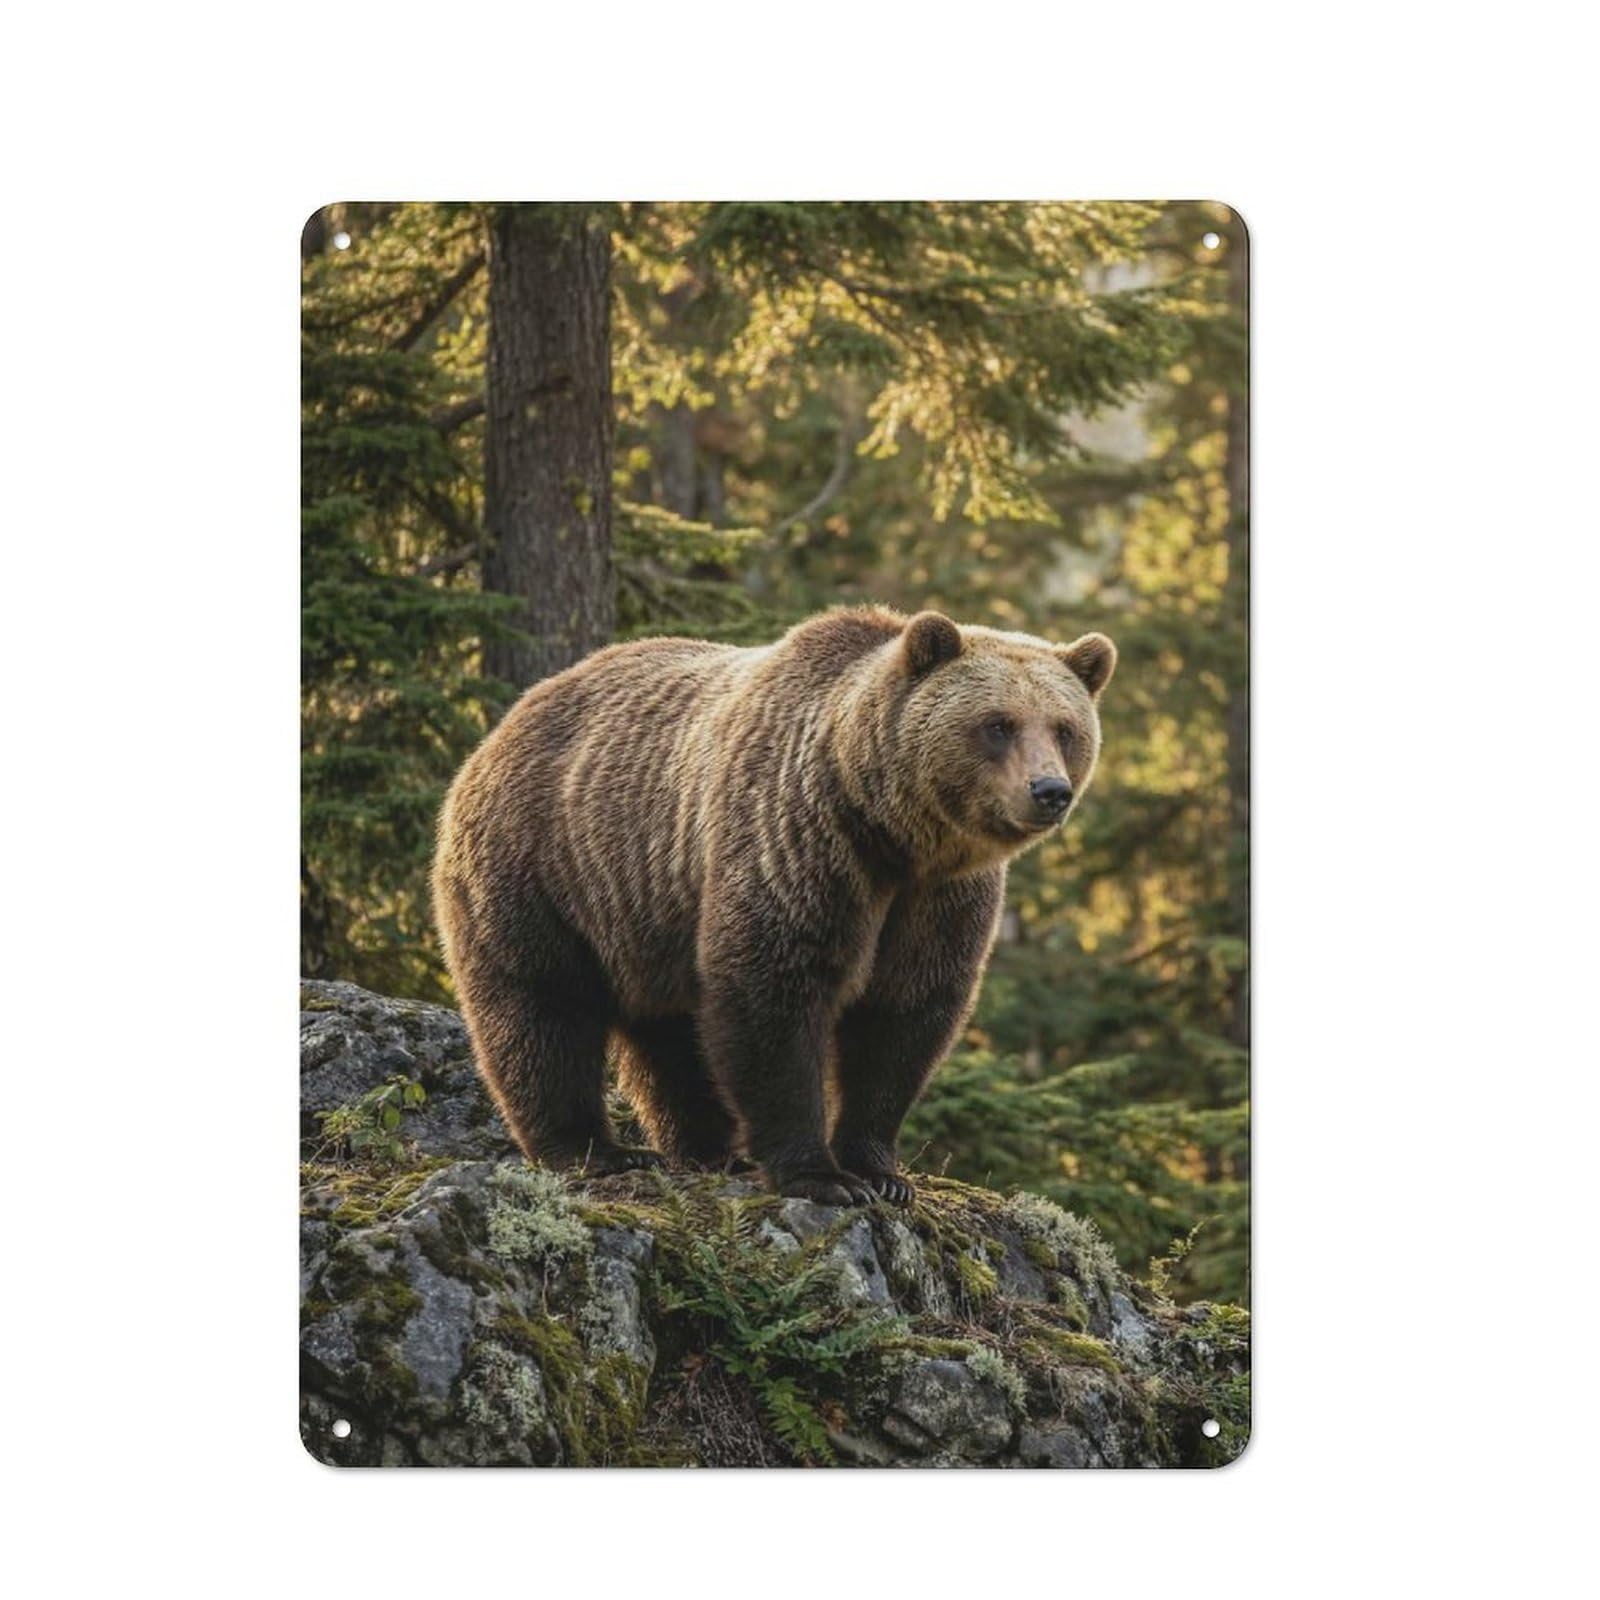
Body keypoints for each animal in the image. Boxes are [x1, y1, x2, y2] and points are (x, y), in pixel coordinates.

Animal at [432, 606, 1115, 1206]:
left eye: (1065, 728)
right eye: (998, 723)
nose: (1049, 790)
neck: (889, 831)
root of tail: (505, 722)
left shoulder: (938, 899)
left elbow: (904, 1014)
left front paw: (881, 1171)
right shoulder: (798, 840)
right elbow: (774, 991)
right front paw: (821, 1175)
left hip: (646, 914)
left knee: (671, 1035)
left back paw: (709, 1148)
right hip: (545, 867)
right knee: (543, 1006)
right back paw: (592, 1150)